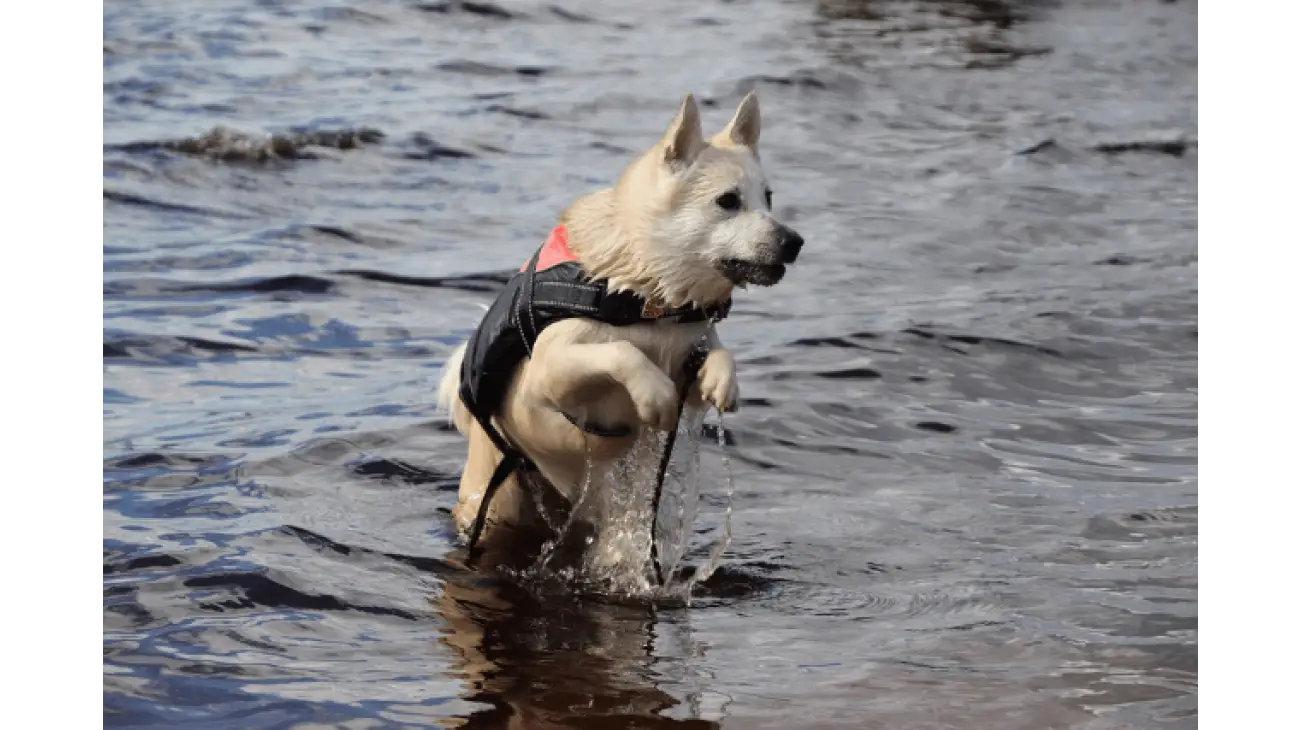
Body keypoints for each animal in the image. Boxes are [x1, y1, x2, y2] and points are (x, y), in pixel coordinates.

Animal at [436, 92, 800, 579]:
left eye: (769, 198)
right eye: (728, 201)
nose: (794, 242)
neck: (648, 296)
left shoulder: (690, 360)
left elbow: (717, 354)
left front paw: (725, 381)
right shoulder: (548, 372)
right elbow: (621, 351)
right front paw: (652, 394)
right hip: (497, 501)